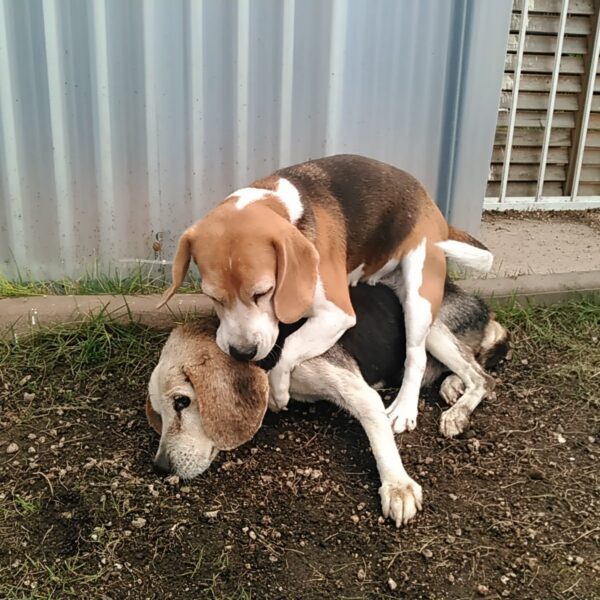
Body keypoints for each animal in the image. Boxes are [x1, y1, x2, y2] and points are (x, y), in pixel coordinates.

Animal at [148, 282, 508, 524]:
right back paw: (452, 386)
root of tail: (478, 302)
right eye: (160, 415)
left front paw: (397, 487)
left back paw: (456, 412)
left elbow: (380, 441)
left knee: (483, 378)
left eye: (182, 402)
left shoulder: (358, 390)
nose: (160, 467)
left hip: (428, 326)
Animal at [157, 155, 494, 436]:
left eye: (264, 292)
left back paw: (405, 408)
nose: (242, 352)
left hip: (418, 295)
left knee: (419, 356)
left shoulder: (337, 314)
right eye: (213, 297)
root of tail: (431, 204)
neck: (283, 207)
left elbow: (290, 345)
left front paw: (279, 389)